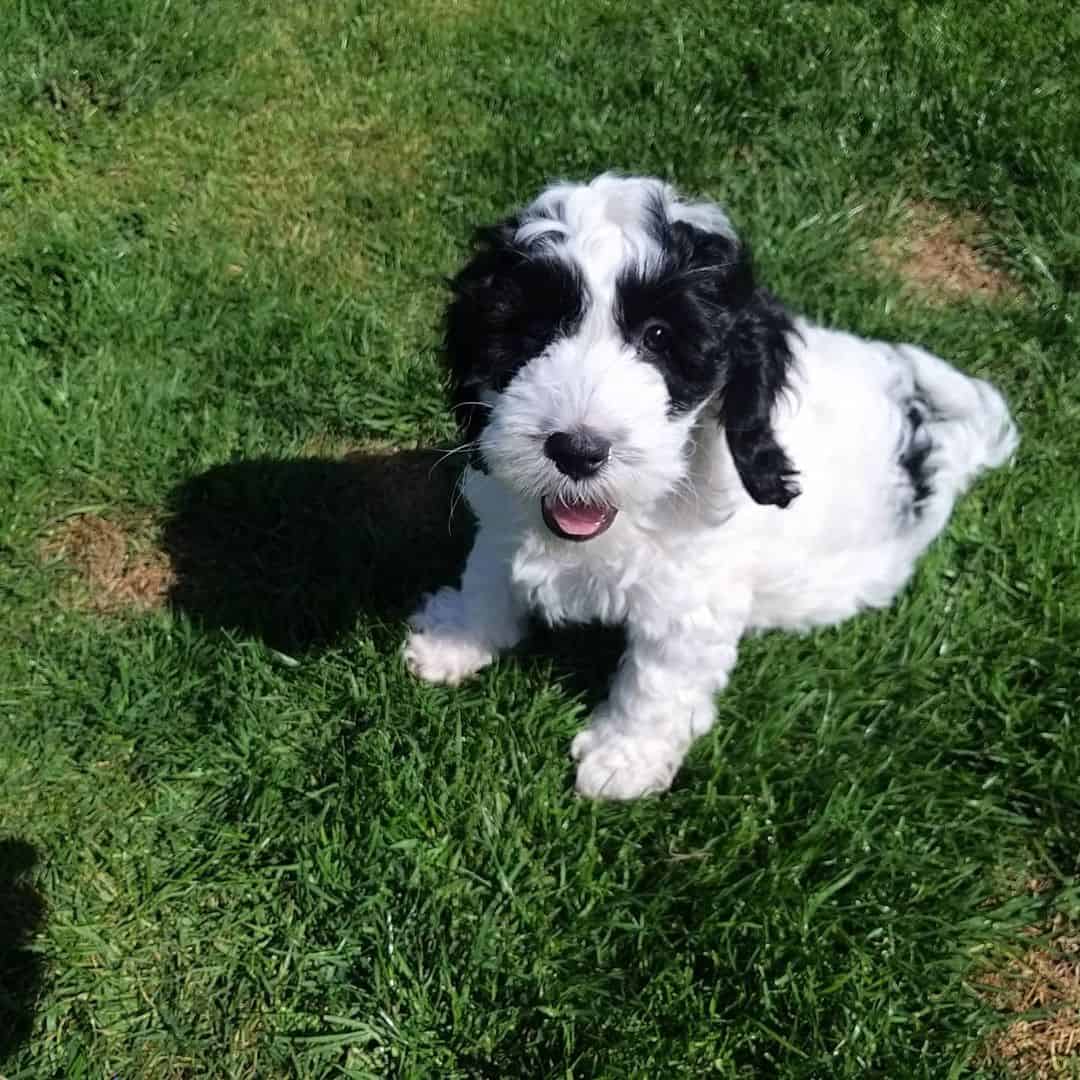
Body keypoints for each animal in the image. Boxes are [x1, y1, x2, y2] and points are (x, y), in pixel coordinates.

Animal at [401, 172, 1015, 803]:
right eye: (533, 328)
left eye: (659, 336)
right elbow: (488, 576)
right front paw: (456, 640)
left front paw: (624, 758)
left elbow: (658, 682)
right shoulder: (503, 507)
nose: (578, 451)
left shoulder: (692, 599)